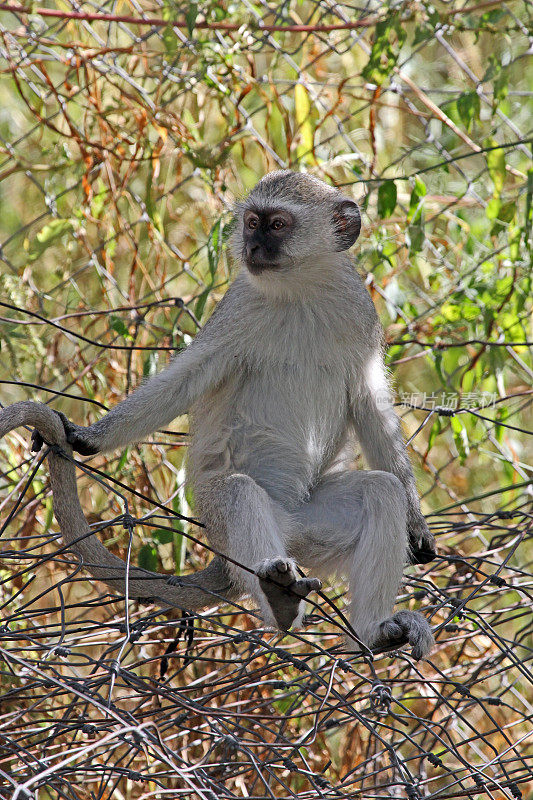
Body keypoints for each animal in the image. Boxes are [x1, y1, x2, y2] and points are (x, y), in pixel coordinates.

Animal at [13, 169, 432, 656]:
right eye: (252, 222)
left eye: (277, 226)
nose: (252, 248)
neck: (300, 291)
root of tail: (288, 532)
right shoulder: (237, 310)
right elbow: (187, 379)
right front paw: (86, 437)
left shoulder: (359, 313)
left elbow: (370, 405)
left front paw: (418, 528)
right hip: (232, 527)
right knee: (236, 493)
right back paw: (279, 598)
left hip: (313, 529)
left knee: (382, 492)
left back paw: (372, 630)